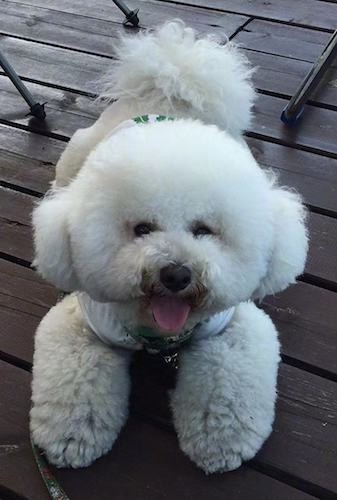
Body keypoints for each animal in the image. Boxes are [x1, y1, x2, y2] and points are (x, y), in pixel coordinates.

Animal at [30, 20, 306, 472]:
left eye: (205, 229)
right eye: (142, 228)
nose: (176, 274)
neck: (158, 332)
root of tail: (167, 91)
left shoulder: (232, 328)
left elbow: (226, 388)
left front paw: (220, 441)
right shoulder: (83, 326)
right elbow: (77, 383)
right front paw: (71, 437)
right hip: (76, 154)